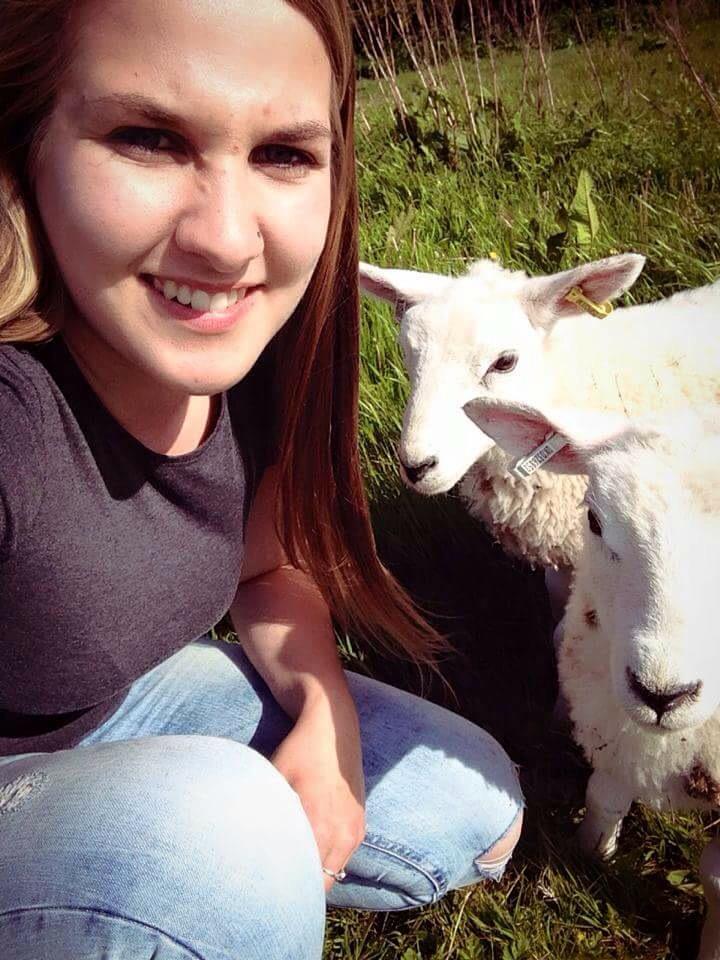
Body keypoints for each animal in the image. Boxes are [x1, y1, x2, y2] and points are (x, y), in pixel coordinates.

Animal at [464, 395, 720, 960]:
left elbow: (716, 876)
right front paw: (589, 858)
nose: (662, 694)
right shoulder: (612, 721)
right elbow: (604, 797)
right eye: (595, 521)